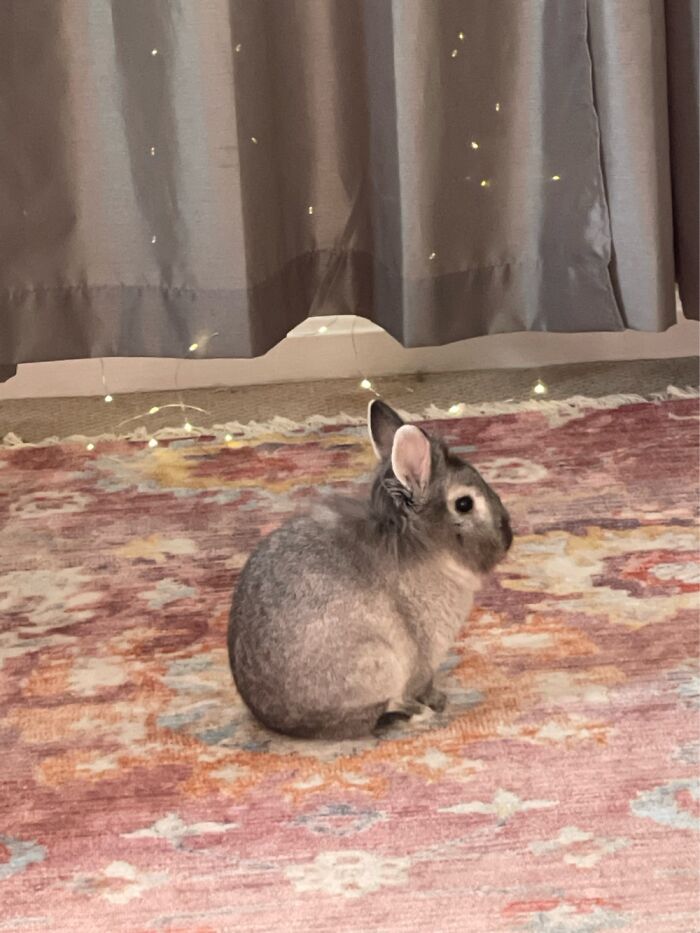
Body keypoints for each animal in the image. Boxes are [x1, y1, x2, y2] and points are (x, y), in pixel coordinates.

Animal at [227, 399, 512, 740]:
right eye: (465, 504)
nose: (509, 537)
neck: (421, 542)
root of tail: (286, 723)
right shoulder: (423, 656)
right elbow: (423, 684)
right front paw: (438, 701)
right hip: (378, 662)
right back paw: (419, 715)